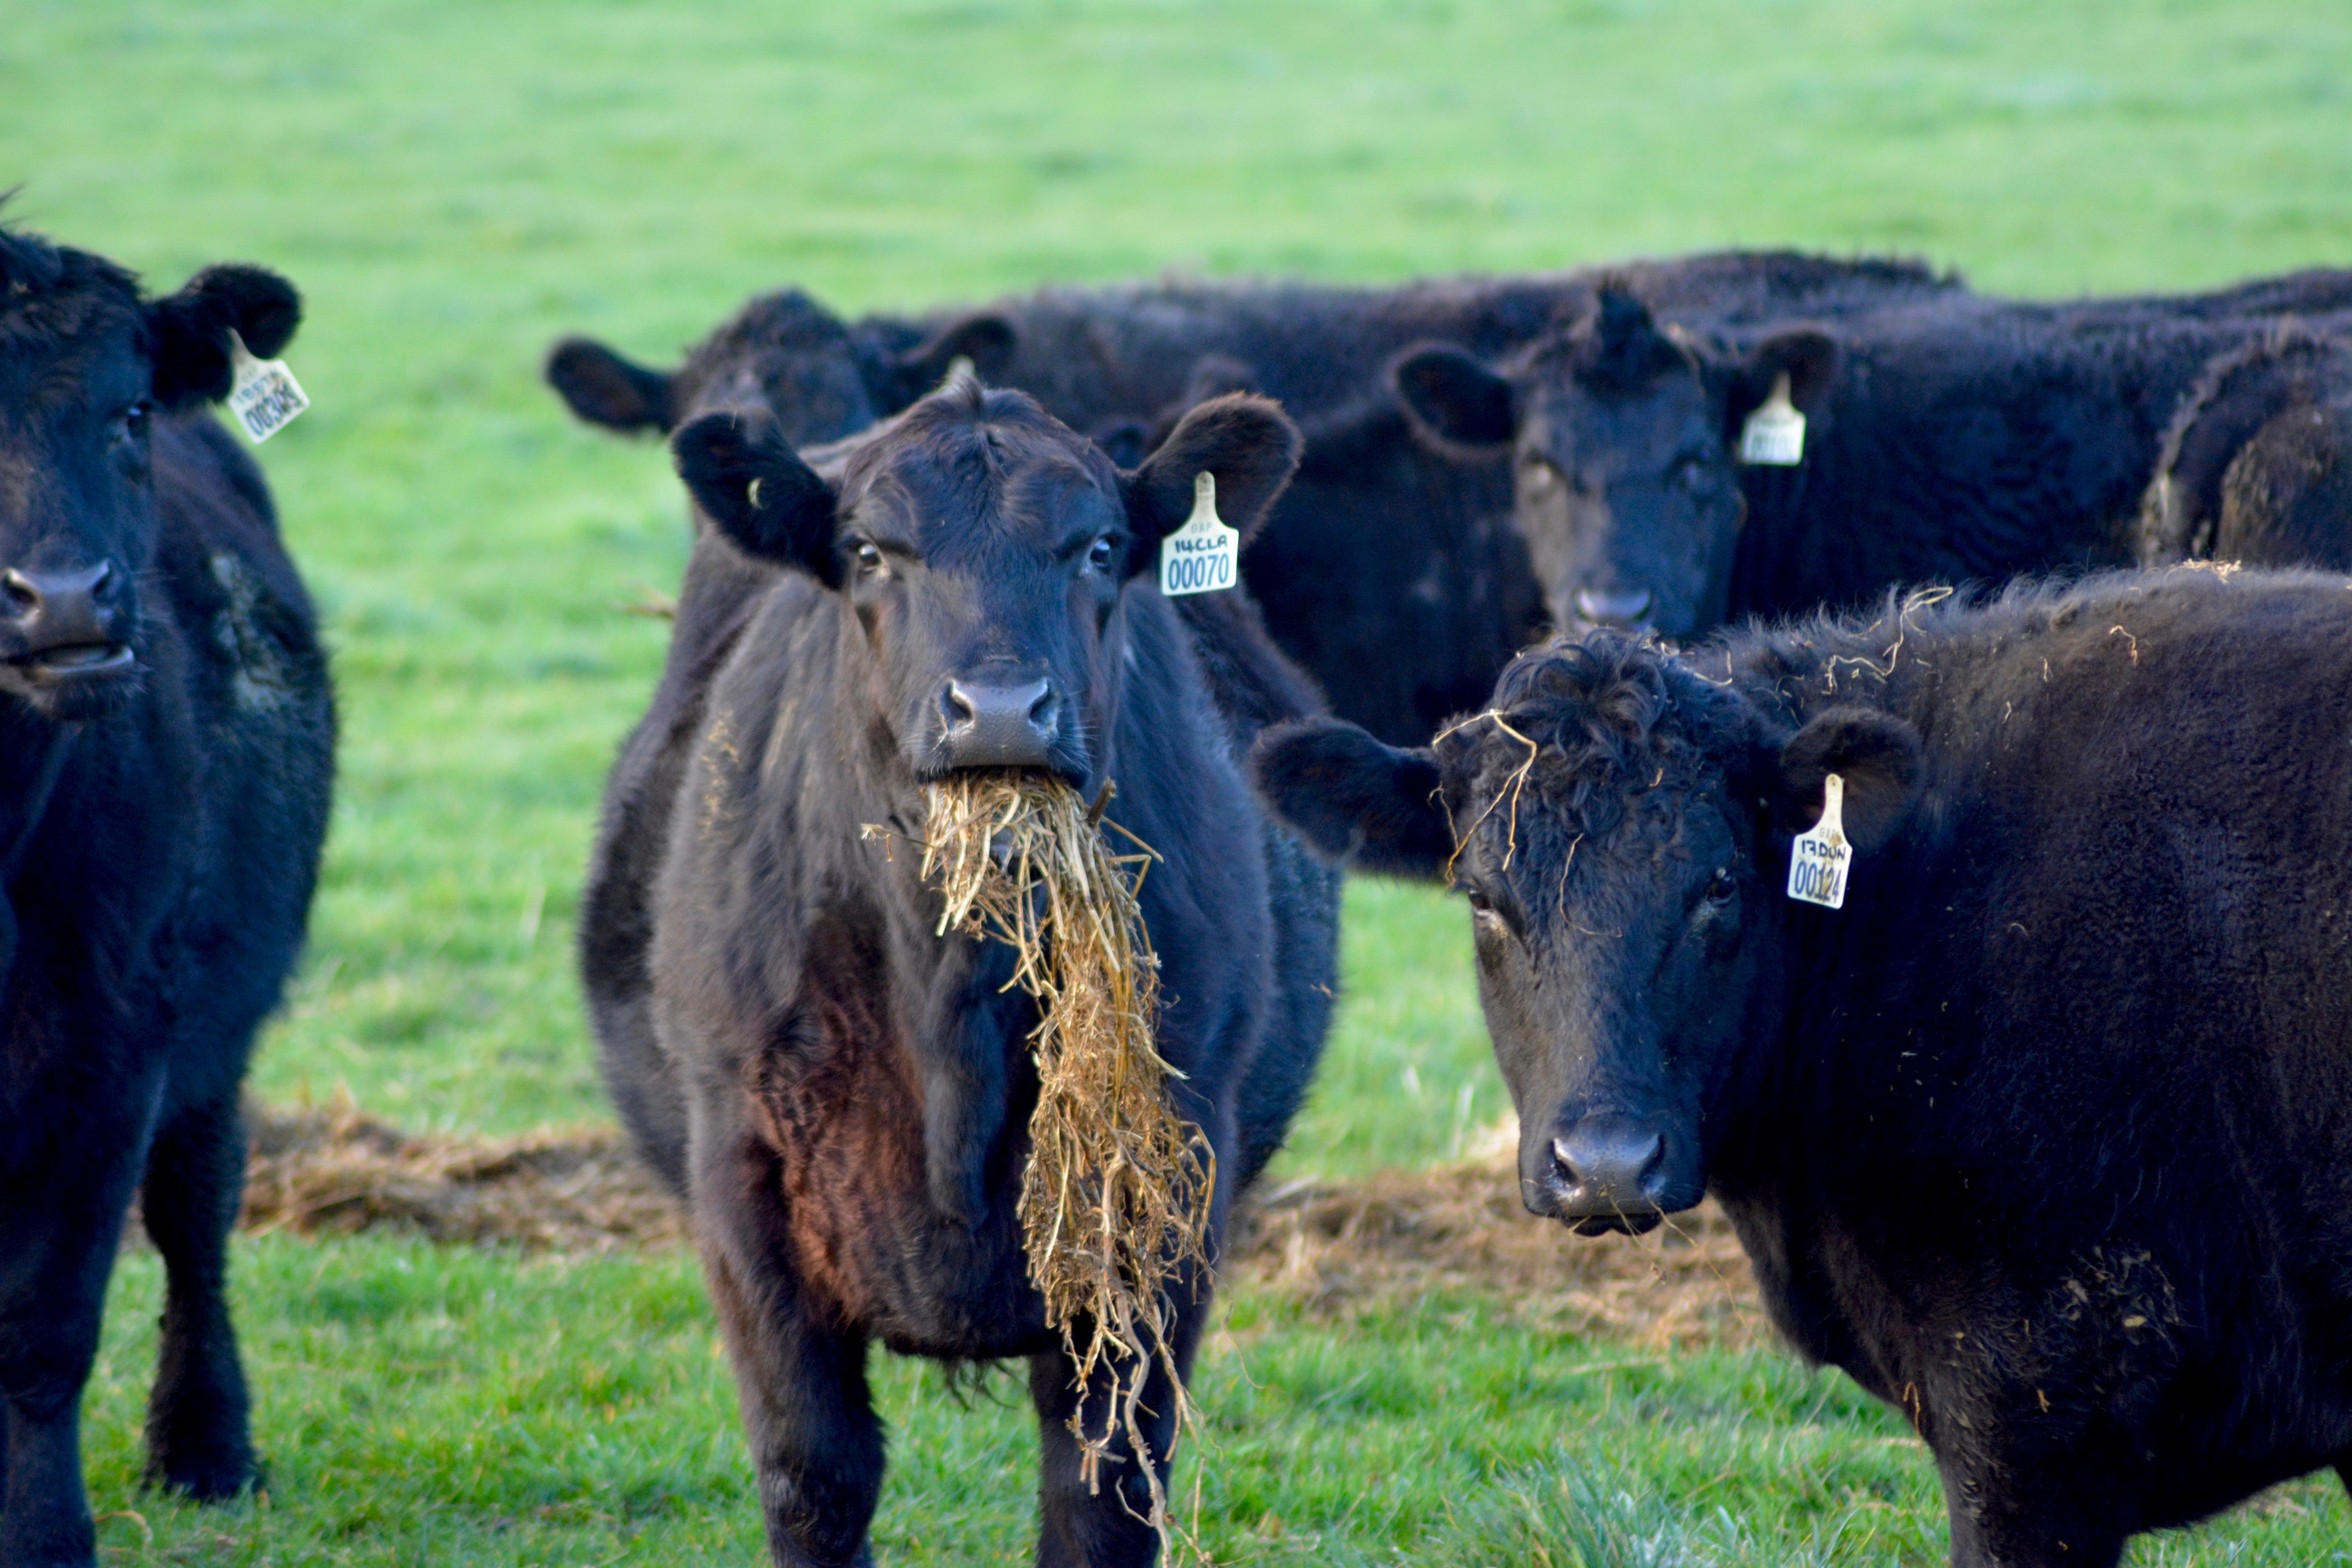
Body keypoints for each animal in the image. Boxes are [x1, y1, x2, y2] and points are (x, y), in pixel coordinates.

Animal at [588, 374, 1345, 1561]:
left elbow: (1103, 1491)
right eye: (867, 548)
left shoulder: (1163, 1198)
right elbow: (816, 1473)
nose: (998, 710)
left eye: (1099, 546)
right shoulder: (741, 1182)